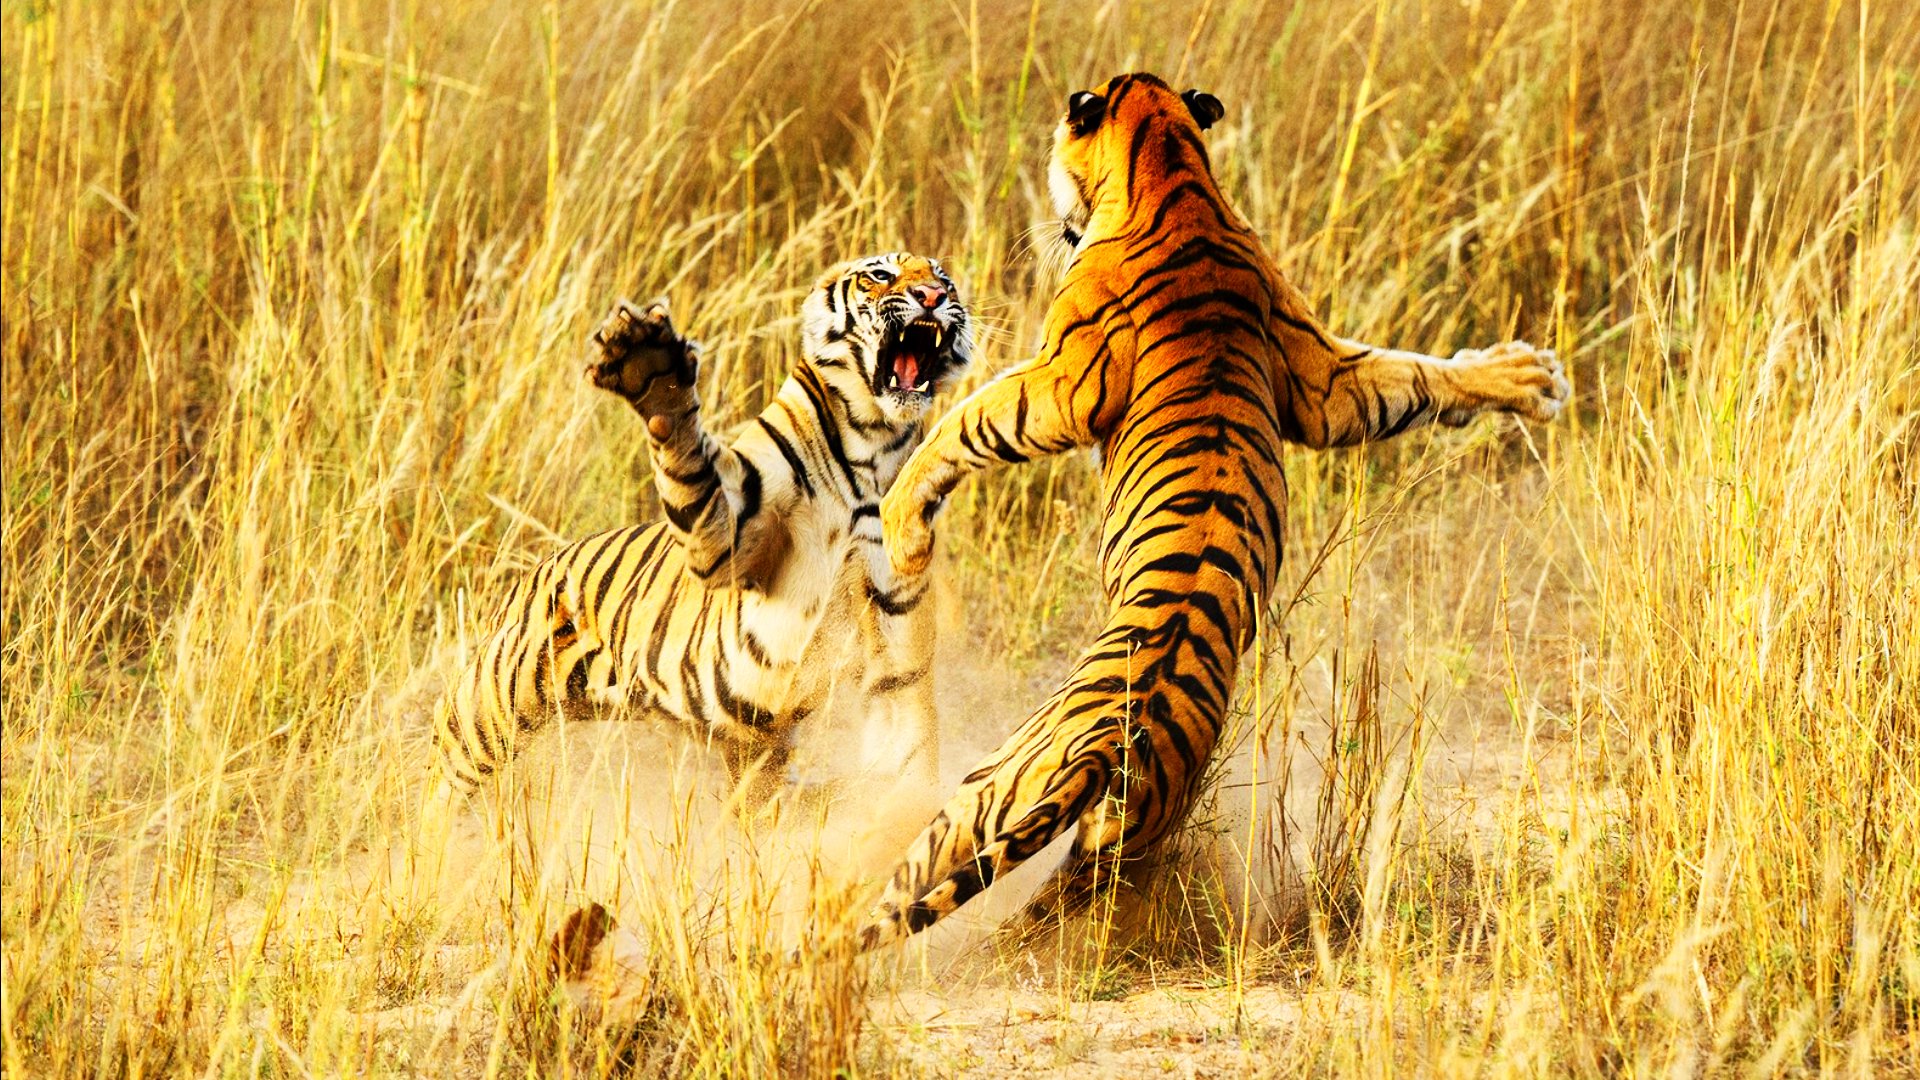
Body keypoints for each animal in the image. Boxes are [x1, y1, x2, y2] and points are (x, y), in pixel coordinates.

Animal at [429, 253, 973, 809]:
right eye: (880, 275)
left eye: (943, 280)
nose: (932, 297)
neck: (872, 443)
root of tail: (531, 574)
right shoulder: (731, 538)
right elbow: (690, 463)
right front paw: (651, 367)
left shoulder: (894, 644)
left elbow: (904, 754)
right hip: (485, 711)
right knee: (442, 777)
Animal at [850, 74, 1569, 949]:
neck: (1173, 165)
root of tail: (1109, 752)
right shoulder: (1323, 380)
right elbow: (1414, 377)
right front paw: (1525, 377)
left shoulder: (1062, 383)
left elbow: (965, 421)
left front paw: (901, 526)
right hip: (1100, 840)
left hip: (985, 790)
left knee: (907, 885)